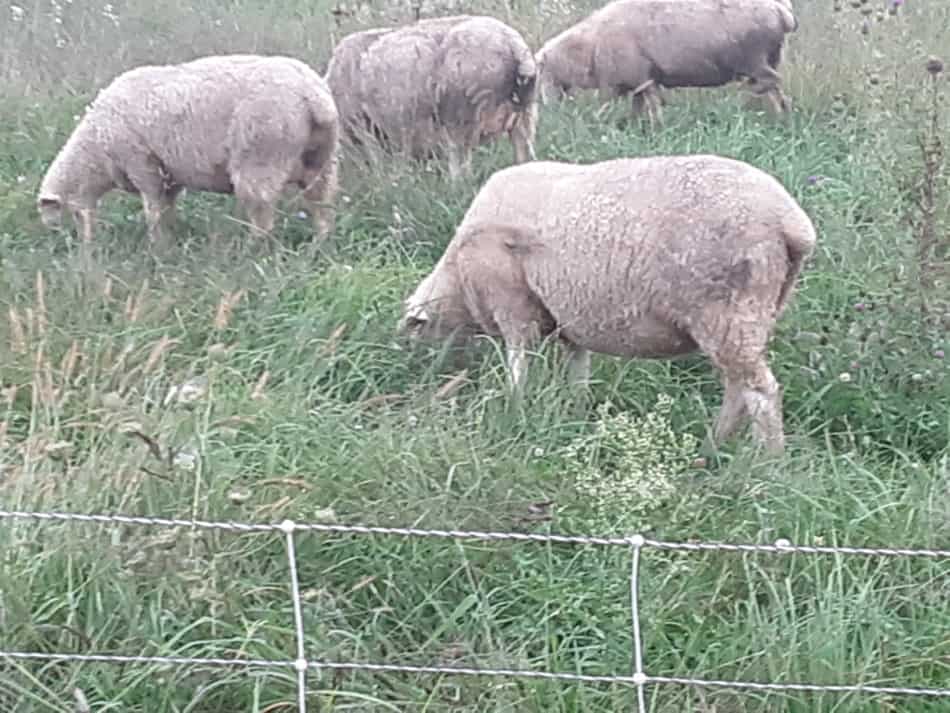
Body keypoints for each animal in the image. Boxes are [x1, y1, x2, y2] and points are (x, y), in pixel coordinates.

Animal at [37, 53, 342, 248]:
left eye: (67, 216)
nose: (83, 247)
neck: (97, 151)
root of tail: (314, 96)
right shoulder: (168, 172)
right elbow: (167, 206)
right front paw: (171, 235)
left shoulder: (142, 164)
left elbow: (153, 208)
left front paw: (157, 244)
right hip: (321, 159)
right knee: (321, 202)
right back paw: (321, 241)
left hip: (261, 155)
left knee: (262, 211)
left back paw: (254, 247)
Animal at [326, 13, 536, 179]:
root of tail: (513, 45)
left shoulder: (362, 125)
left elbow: (376, 161)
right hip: (524, 116)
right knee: (524, 154)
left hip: (461, 116)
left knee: (461, 164)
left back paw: (454, 185)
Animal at [400, 156, 820, 456]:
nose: (422, 368)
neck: (458, 277)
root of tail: (792, 224)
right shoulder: (567, 318)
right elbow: (578, 367)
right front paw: (576, 410)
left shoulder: (513, 305)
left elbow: (519, 362)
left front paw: (513, 407)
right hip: (752, 316)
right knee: (738, 387)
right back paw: (712, 447)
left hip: (728, 311)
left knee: (761, 392)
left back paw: (766, 464)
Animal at [540, 0, 800, 125]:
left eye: (541, 72)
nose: (548, 108)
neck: (590, 47)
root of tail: (781, 10)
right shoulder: (638, 81)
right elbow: (640, 106)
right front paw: (638, 129)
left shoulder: (627, 81)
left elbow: (643, 107)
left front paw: (656, 129)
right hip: (769, 57)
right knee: (776, 91)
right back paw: (782, 119)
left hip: (753, 59)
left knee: (771, 82)